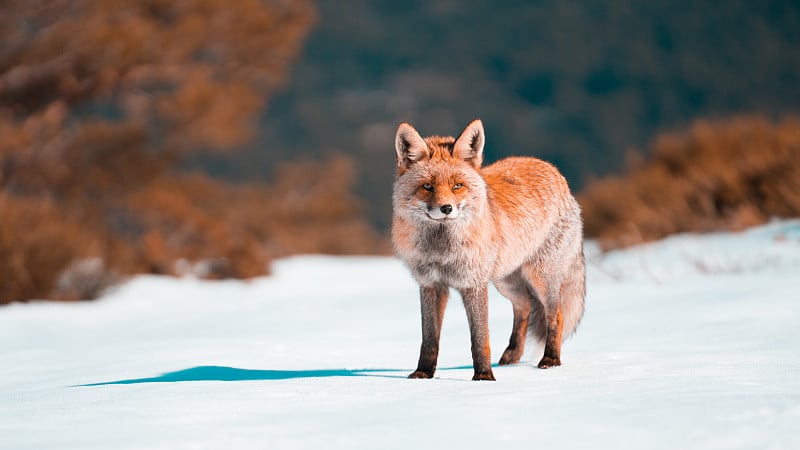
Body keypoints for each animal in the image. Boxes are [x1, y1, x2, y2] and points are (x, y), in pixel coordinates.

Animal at [390, 118, 584, 380]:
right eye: (427, 186)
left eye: (457, 186)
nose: (446, 208)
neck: (442, 250)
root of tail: (554, 170)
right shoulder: (431, 284)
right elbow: (429, 339)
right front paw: (423, 374)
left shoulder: (474, 284)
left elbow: (479, 339)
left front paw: (483, 377)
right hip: (506, 281)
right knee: (524, 306)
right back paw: (512, 356)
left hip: (542, 278)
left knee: (556, 315)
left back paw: (551, 359)